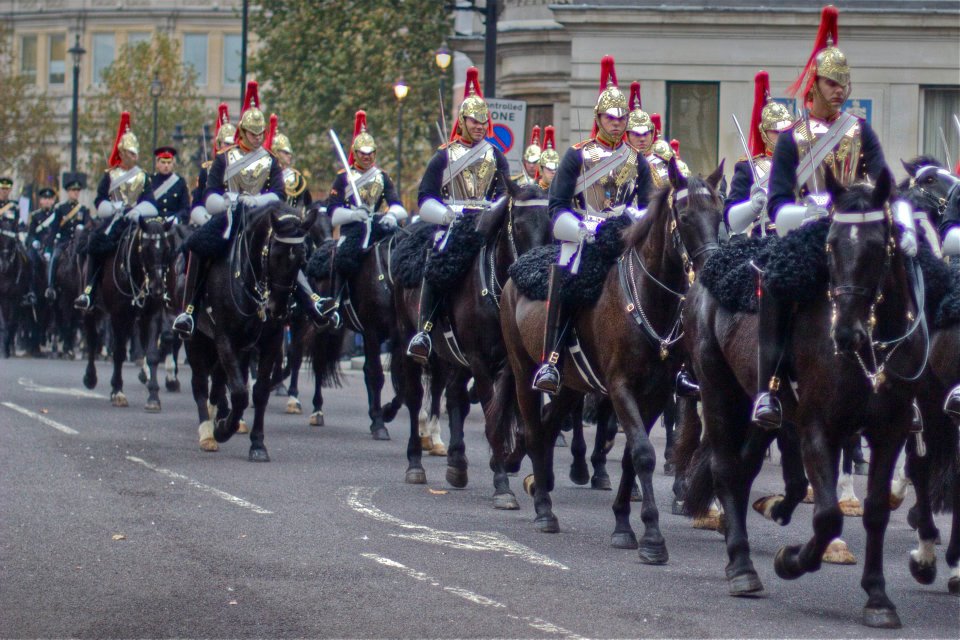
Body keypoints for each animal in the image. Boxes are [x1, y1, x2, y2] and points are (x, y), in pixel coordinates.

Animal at [80, 215, 178, 410]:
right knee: (93, 338)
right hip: (93, 310)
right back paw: (90, 378)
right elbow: (118, 352)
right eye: (146, 248)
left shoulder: (153, 313)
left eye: (166, 248)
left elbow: (153, 354)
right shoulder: (119, 315)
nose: (157, 288)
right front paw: (117, 391)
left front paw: (153, 396)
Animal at [182, 202, 314, 462]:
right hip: (197, 340)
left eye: (302, 258)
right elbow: (240, 393)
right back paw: (207, 433)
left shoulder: (271, 342)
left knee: (218, 383)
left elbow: (259, 392)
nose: (278, 310)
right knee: (200, 383)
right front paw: (224, 429)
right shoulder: (225, 339)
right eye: (275, 254)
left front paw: (258, 444)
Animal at [392, 184, 556, 496]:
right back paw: (415, 463)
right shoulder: (480, 359)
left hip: (456, 358)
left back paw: (457, 462)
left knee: (456, 396)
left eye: (553, 225)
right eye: (518, 224)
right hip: (410, 340)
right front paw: (503, 486)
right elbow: (495, 420)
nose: (534, 276)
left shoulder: (509, 363)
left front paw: (511, 464)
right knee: (416, 397)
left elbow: (510, 416)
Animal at [496, 161, 720, 564]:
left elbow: (633, 455)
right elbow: (644, 454)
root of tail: (515, 273)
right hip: (524, 374)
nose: (710, 268)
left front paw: (623, 524)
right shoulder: (620, 388)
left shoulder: (655, 394)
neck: (647, 299)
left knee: (549, 427)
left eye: (719, 213)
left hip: (571, 386)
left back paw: (543, 482)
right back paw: (544, 510)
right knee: (534, 430)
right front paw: (652, 537)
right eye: (685, 215)